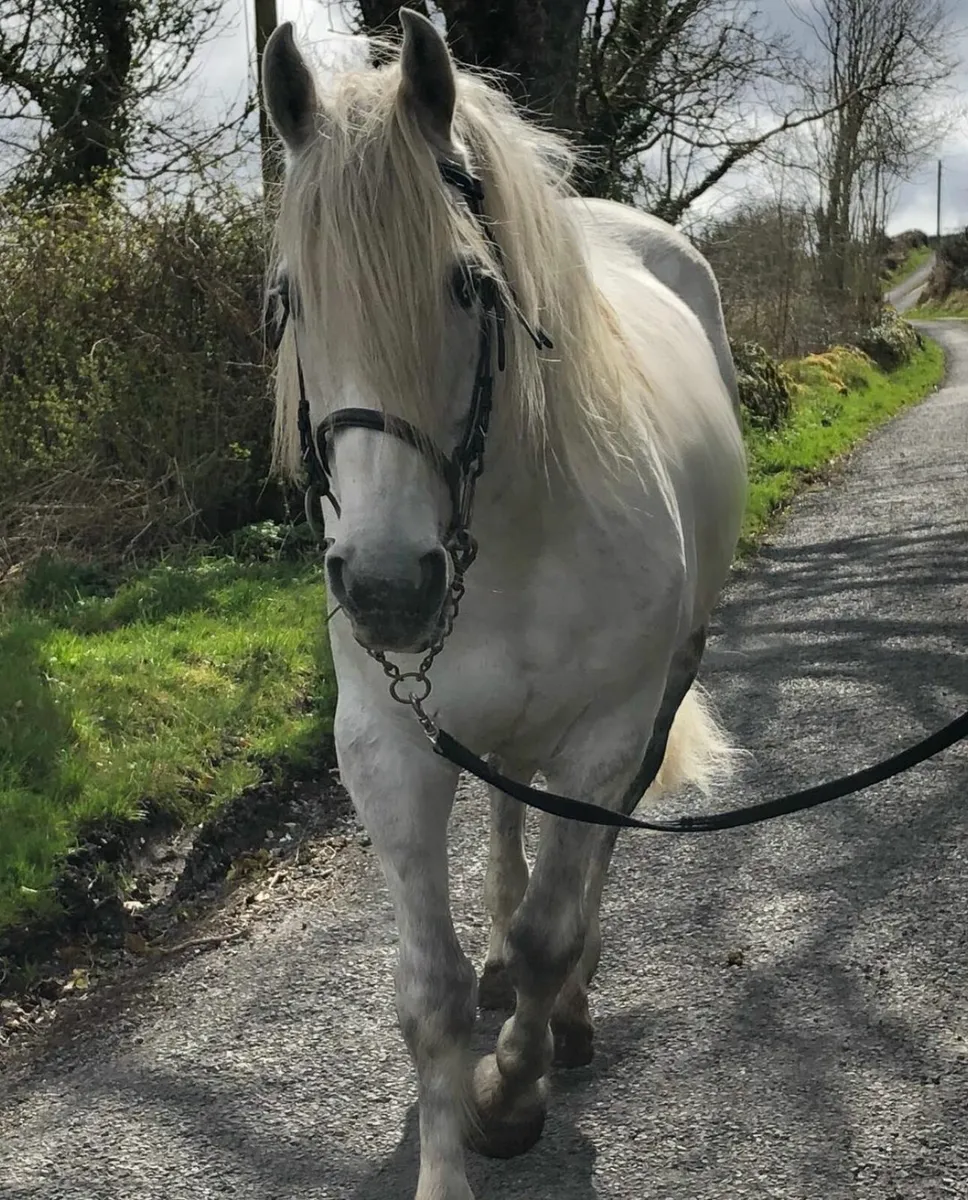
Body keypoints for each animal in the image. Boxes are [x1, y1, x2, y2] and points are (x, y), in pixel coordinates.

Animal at [263, 11, 747, 1198]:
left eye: (467, 286)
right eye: (289, 299)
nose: (388, 587)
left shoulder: (603, 734)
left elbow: (546, 935)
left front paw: (512, 1094)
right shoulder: (388, 746)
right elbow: (427, 991)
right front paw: (450, 1152)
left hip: (655, 699)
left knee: (587, 865)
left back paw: (568, 1005)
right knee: (506, 815)